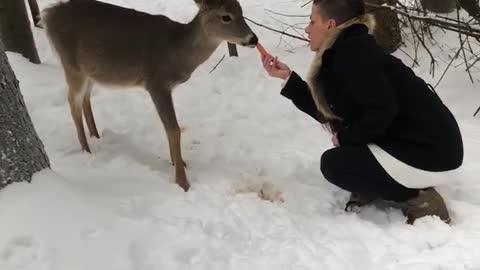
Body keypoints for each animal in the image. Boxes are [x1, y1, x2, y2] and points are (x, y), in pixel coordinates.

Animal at [41, 0, 258, 191]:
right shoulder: (156, 83)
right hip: (71, 65)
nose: (253, 39)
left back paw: (95, 135)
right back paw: (86, 149)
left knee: (85, 98)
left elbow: (169, 128)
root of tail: (48, 14)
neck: (177, 51)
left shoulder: (167, 87)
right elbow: (174, 129)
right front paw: (182, 181)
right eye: (226, 17)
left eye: (241, 11)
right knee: (73, 102)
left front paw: (179, 162)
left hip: (91, 70)